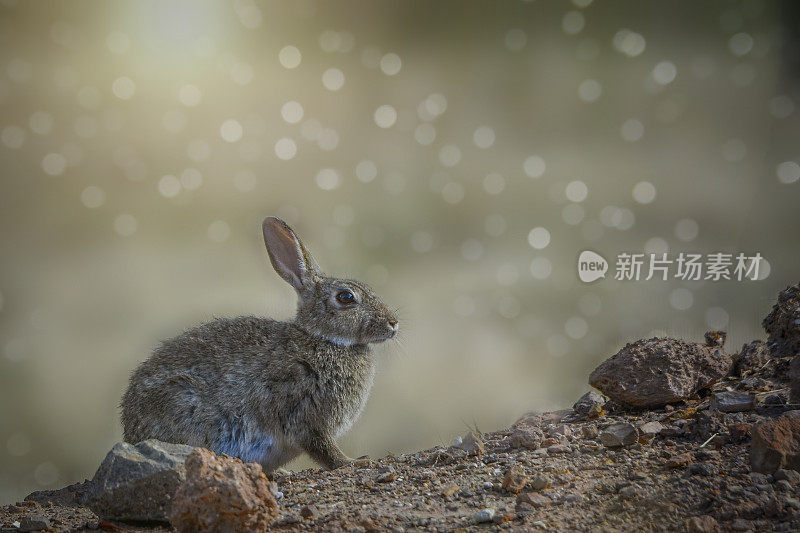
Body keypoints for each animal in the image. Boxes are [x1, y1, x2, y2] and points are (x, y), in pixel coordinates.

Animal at [119, 216, 400, 470]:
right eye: (346, 297)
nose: (393, 323)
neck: (322, 338)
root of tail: (131, 432)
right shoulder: (305, 415)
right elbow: (324, 450)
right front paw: (355, 461)